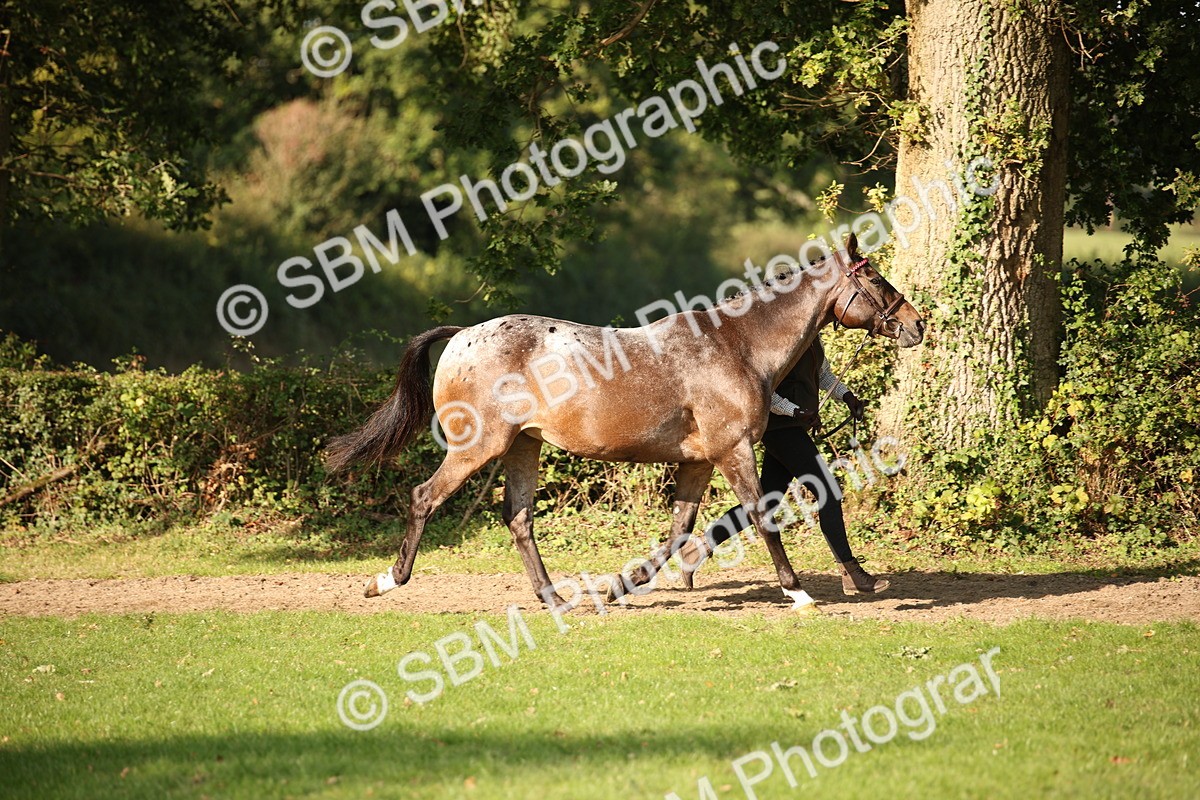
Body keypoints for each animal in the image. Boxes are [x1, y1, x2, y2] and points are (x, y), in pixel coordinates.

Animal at [324, 233, 924, 611]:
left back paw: (556, 598)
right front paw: (796, 592)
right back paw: (385, 581)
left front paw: (622, 584)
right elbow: (760, 516)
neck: (738, 347)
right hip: (479, 448)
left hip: (523, 447)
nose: (917, 324)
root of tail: (463, 335)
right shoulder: (732, 451)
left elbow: (680, 531)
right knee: (425, 498)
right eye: (876, 279)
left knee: (519, 520)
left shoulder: (700, 462)